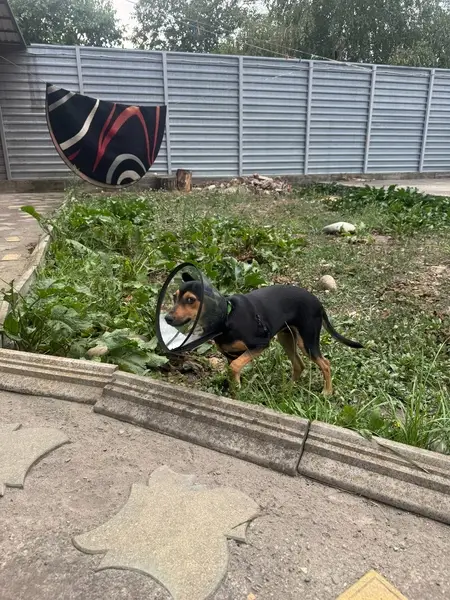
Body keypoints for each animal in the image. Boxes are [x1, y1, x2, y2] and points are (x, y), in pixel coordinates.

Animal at [165, 275, 363, 395]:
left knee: (325, 363)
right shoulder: (230, 354)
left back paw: (327, 392)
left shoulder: (260, 345)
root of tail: (318, 303)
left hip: (307, 341)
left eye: (190, 300)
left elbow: (235, 367)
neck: (227, 317)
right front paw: (236, 392)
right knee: (299, 365)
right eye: (174, 297)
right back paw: (288, 388)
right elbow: (233, 371)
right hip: (286, 338)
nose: (167, 318)